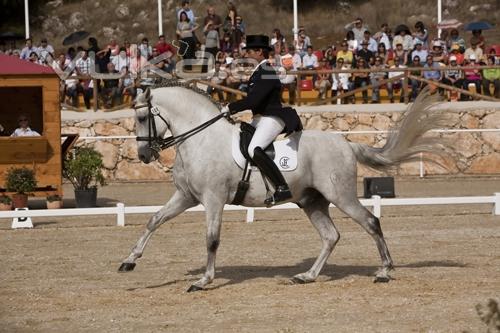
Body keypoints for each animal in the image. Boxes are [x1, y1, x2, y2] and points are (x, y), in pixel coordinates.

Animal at [119, 84, 448, 292]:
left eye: (142, 117)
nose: (144, 156)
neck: (200, 138)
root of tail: (346, 143)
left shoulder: (213, 199)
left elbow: (211, 240)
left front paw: (203, 281)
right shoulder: (186, 196)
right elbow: (154, 220)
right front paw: (129, 261)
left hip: (340, 195)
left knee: (370, 222)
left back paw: (384, 271)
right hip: (312, 201)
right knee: (331, 236)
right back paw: (307, 276)